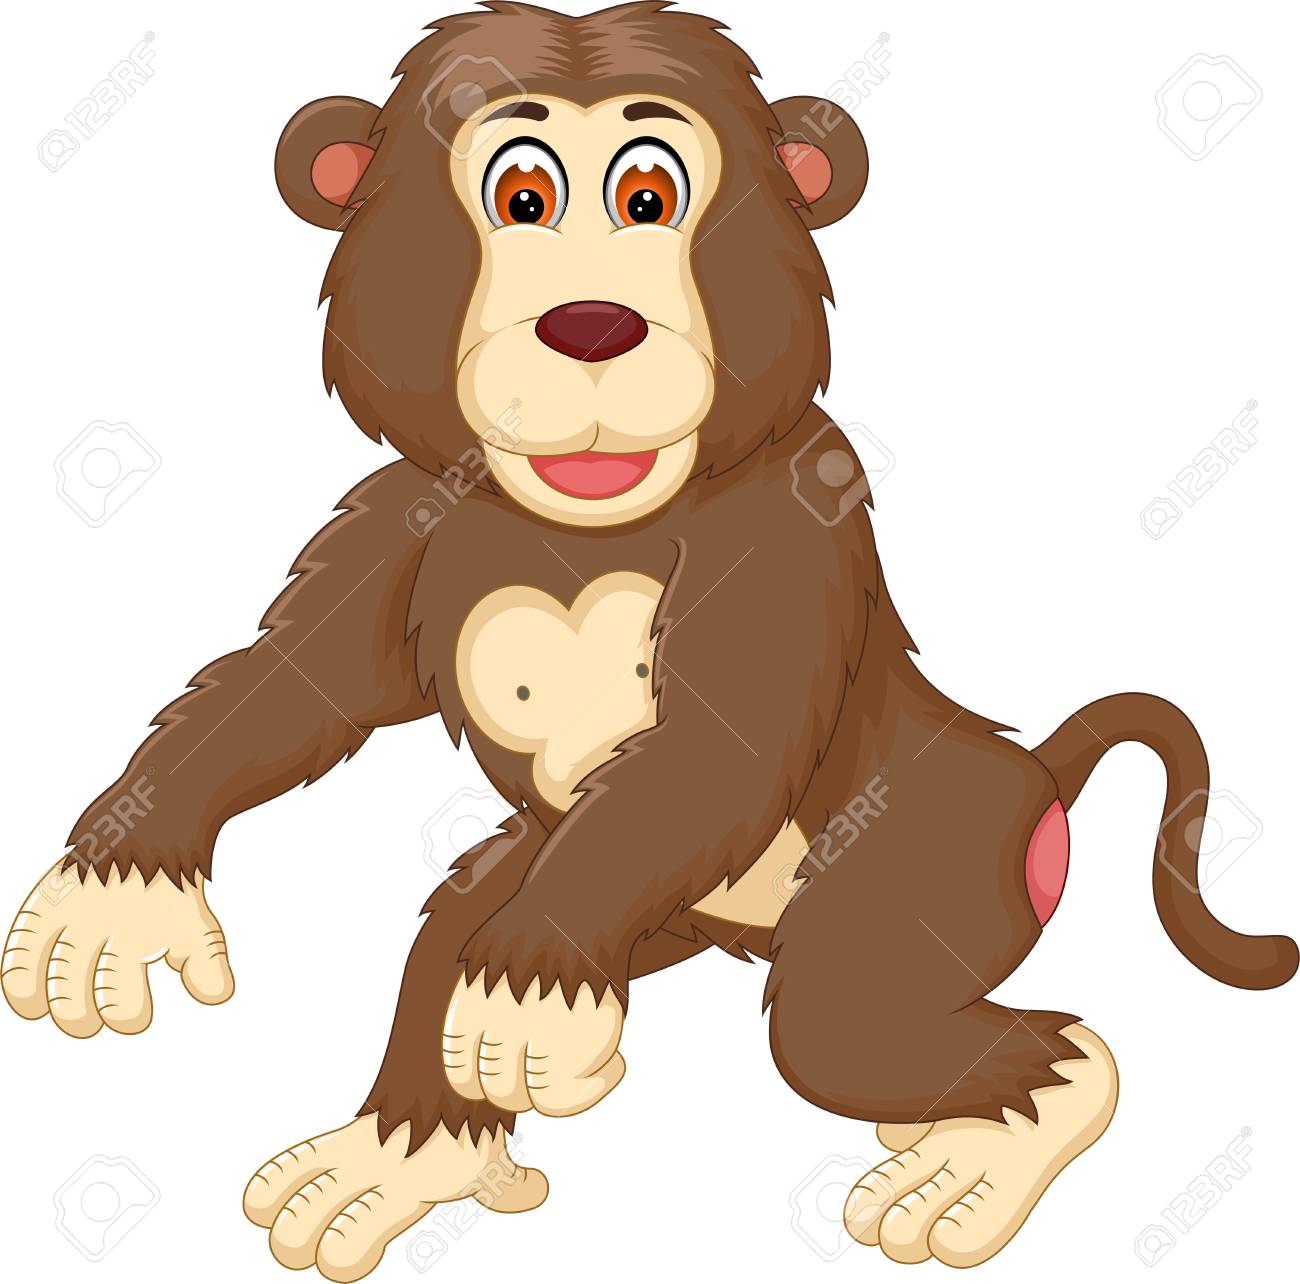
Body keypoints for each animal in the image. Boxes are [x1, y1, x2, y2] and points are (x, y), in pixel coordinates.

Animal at [4, 4, 1294, 1281]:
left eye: (647, 195)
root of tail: (1032, 768)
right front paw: (114, 887)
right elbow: (292, 688)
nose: (591, 326)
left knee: (862, 1021)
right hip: (641, 900)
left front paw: (527, 992)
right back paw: (401, 1155)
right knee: (461, 928)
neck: (578, 529)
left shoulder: (794, 523)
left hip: (932, 856)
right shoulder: (400, 520)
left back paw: (989, 1144)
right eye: (523, 196)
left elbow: (718, 746)